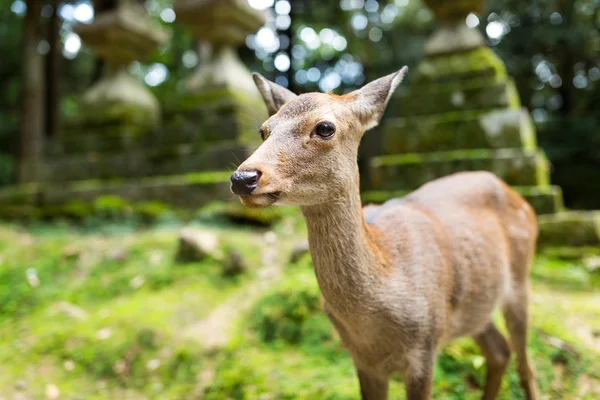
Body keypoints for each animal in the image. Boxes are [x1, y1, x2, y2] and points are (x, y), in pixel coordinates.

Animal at [229, 67, 540, 398]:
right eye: (264, 130)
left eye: (325, 127)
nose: (243, 178)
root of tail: (517, 196)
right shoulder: (362, 360)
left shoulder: (425, 347)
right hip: (475, 306)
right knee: (499, 351)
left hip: (520, 279)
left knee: (525, 364)